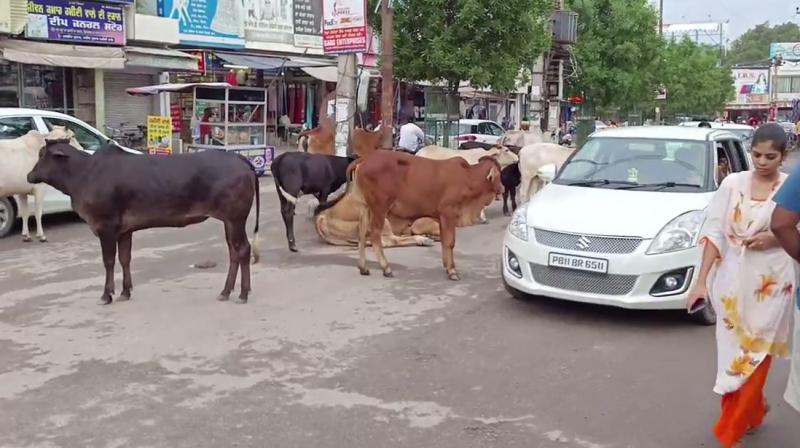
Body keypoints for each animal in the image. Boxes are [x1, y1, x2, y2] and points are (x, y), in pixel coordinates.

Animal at [26, 143, 260, 304]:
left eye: (42, 155)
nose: (29, 175)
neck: (83, 174)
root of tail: (240, 159)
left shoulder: (106, 227)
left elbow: (109, 261)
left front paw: (106, 295)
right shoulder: (124, 230)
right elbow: (124, 259)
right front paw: (125, 291)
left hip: (235, 219)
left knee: (243, 250)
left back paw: (242, 293)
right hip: (230, 222)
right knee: (234, 252)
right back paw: (227, 291)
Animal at [350, 152, 500, 282]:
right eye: (499, 174)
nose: (502, 188)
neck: (468, 177)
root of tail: (365, 159)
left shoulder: (441, 218)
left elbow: (444, 241)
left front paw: (446, 266)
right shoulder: (448, 214)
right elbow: (450, 242)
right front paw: (452, 271)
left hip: (366, 207)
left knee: (362, 234)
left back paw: (363, 268)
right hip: (380, 208)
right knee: (375, 235)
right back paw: (386, 268)